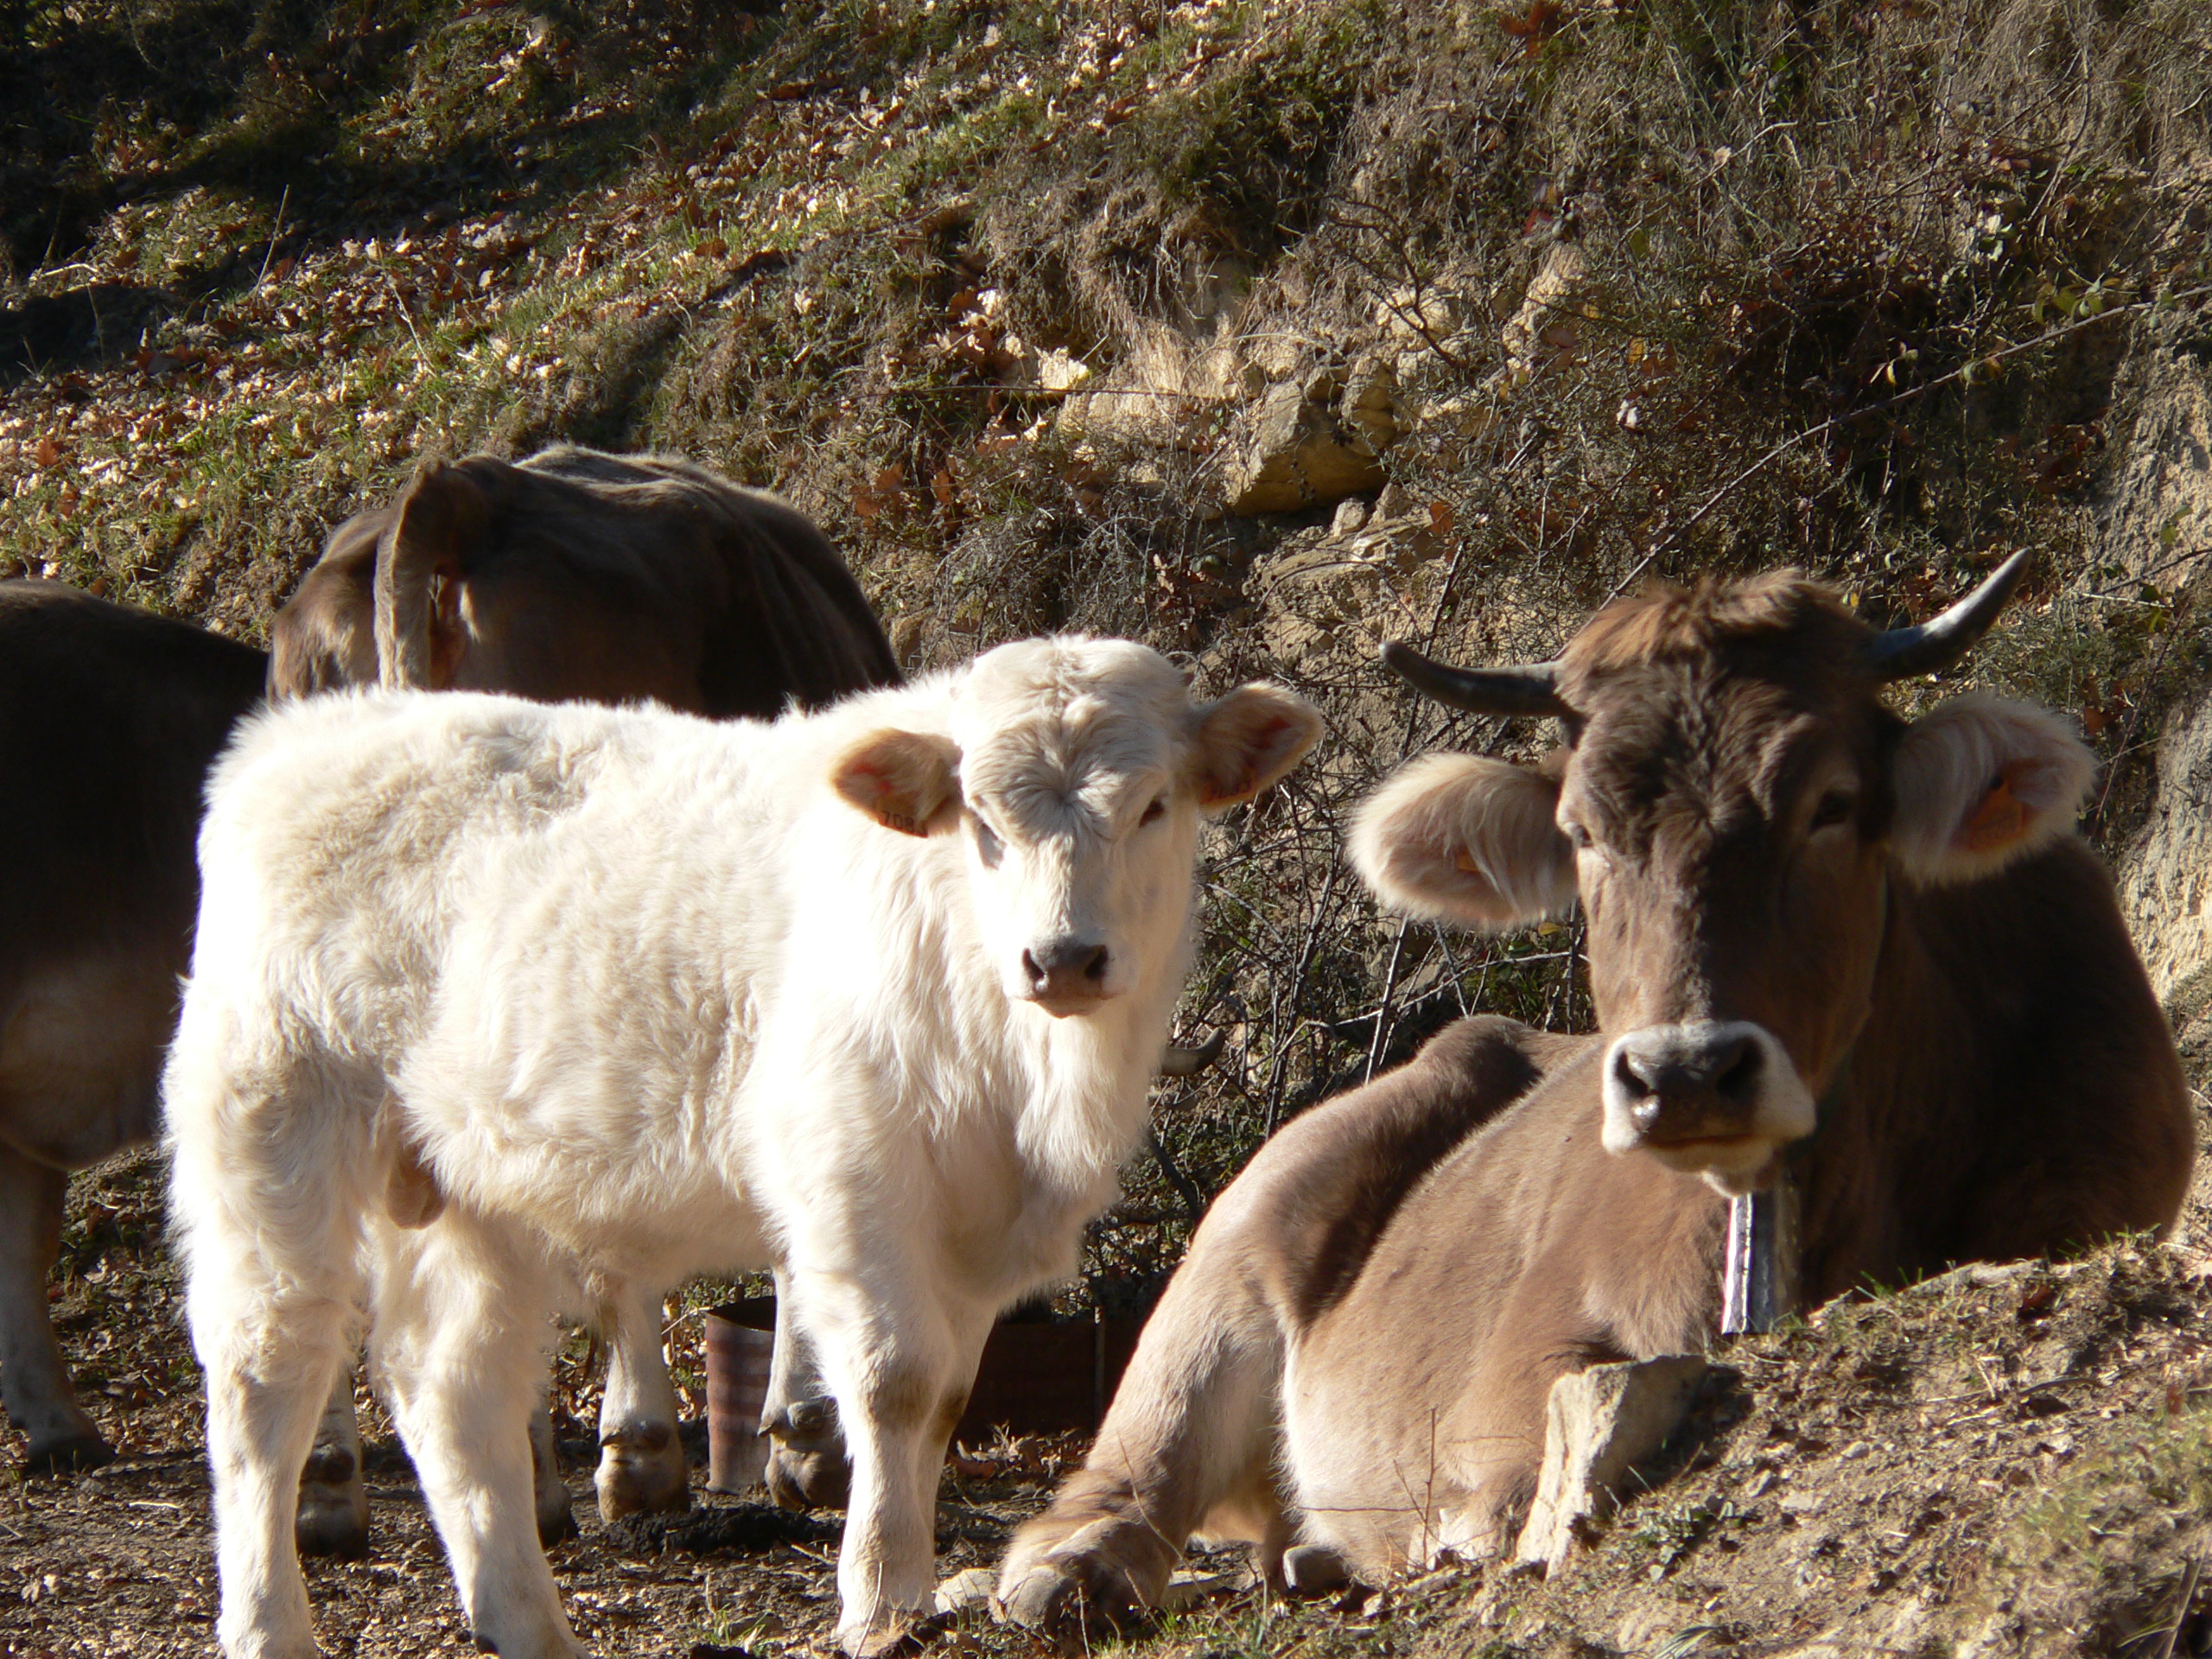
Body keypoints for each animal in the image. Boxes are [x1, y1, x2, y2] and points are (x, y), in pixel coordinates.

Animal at [168, 641, 1309, 1659]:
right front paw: (881, 1602)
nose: (1063, 958)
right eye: (980, 819)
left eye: (1152, 806)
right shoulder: (854, 1180)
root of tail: (302, 734)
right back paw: (269, 1626)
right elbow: (894, 1384)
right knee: (266, 1381)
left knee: (455, 1391)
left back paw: (529, 1624)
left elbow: (946, 1398)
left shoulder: (975, 1225)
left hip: (470, 1190)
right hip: (271, 1136)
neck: (1031, 1083)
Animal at [1004, 559, 2194, 1628]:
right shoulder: (1509, 1377)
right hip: (1239, 1242)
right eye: (1580, 832)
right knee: (1139, 1462)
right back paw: (1076, 1571)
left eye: (1833, 805)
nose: (1684, 1073)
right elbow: (1513, 1485)